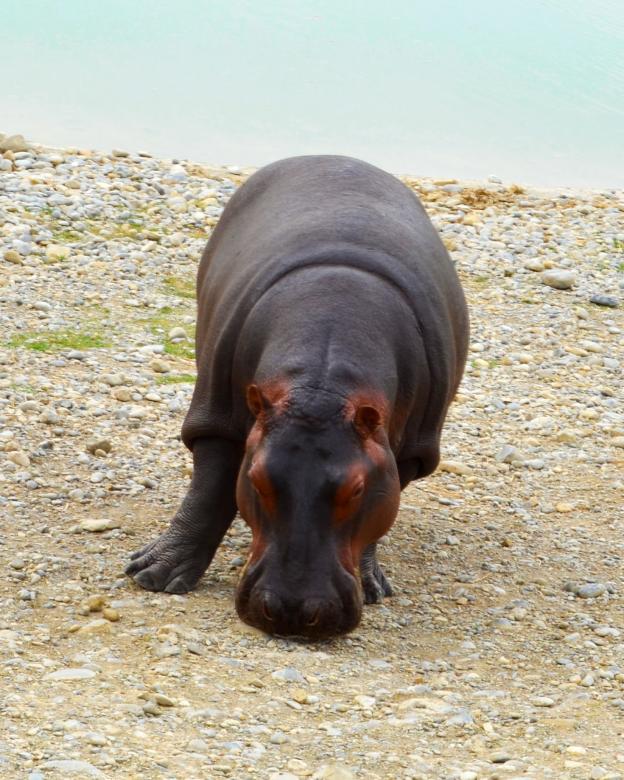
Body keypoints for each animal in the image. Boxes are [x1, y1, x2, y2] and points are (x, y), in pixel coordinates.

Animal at [126, 155, 469, 639]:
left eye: (356, 487)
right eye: (256, 478)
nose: (292, 610)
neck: (322, 382)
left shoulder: (411, 451)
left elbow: (385, 503)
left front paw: (373, 585)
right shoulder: (217, 417)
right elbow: (208, 490)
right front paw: (152, 574)